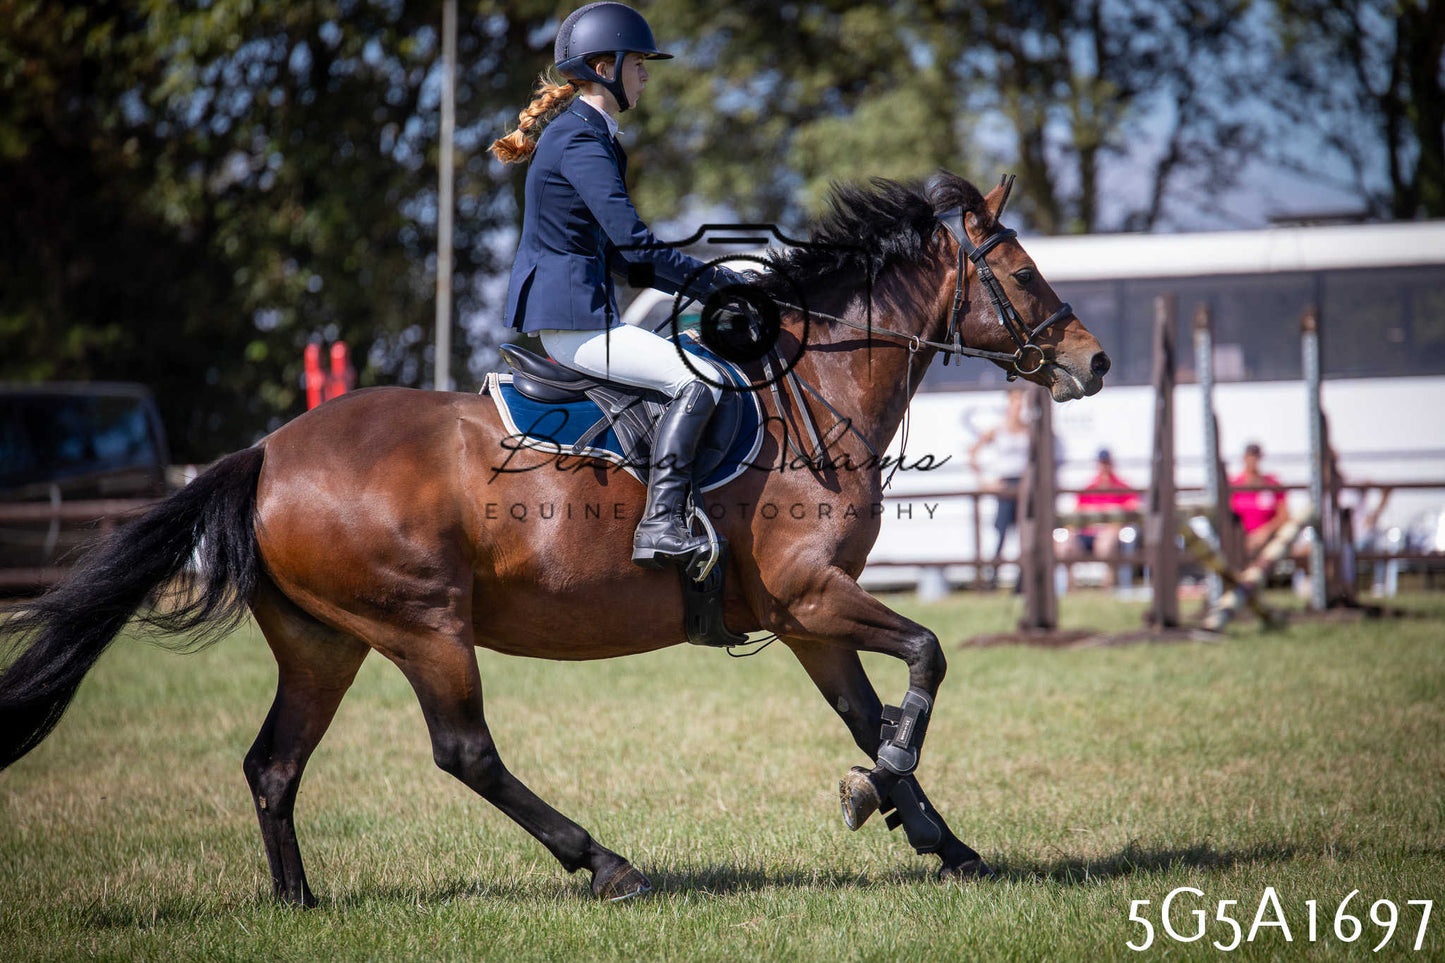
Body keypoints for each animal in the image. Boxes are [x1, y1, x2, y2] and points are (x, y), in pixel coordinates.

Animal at [0, 171, 1109, 904]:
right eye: (1017, 268)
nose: (1092, 363)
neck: (813, 390)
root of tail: (267, 452)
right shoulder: (812, 597)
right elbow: (925, 658)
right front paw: (874, 796)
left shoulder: (804, 619)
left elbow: (870, 714)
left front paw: (932, 835)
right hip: (424, 627)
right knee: (463, 752)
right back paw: (605, 864)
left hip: (325, 641)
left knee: (274, 766)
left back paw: (297, 902)